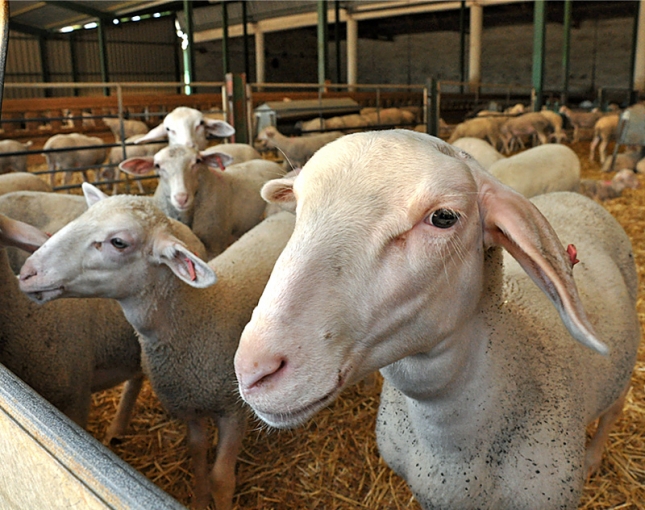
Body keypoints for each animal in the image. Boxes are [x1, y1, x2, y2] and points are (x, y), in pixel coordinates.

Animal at [19, 188, 296, 510]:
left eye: (118, 242)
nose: (26, 273)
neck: (198, 318)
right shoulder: (189, 405)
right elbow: (198, 457)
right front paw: (200, 500)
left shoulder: (233, 410)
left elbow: (221, 479)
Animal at [231, 130, 640, 510]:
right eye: (298, 207)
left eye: (443, 218)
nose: (254, 370)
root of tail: (576, 197)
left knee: (613, 410)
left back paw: (592, 458)